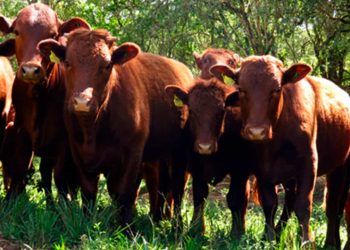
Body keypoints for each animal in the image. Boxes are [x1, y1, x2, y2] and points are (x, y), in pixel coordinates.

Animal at [0, 2, 91, 202]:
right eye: (17, 32)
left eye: (52, 34)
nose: (30, 70)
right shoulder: (21, 133)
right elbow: (19, 170)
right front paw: (11, 202)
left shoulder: (64, 143)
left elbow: (60, 178)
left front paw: (63, 206)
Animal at [38, 28, 194, 229]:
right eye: (67, 62)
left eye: (106, 65)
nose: (82, 101)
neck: (94, 130)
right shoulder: (80, 154)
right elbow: (89, 194)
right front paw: (88, 222)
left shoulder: (133, 156)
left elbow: (126, 194)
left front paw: (126, 228)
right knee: (160, 187)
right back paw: (158, 218)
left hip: (179, 155)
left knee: (177, 189)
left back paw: (175, 226)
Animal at [212, 55, 350, 249]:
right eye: (241, 89)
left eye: (276, 89)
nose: (256, 131)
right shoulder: (263, 168)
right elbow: (270, 204)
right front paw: (269, 238)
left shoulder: (308, 165)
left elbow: (303, 205)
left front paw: (307, 242)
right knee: (291, 202)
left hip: (340, 167)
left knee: (333, 206)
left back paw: (331, 242)